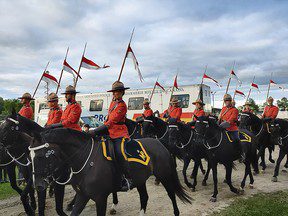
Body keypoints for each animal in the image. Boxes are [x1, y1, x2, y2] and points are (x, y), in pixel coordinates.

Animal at [29, 125, 190, 215]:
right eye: (30, 157)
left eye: (41, 156)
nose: (38, 185)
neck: (86, 161)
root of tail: (159, 142)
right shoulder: (82, 196)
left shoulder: (100, 198)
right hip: (140, 180)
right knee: (144, 197)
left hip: (164, 176)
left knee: (171, 195)